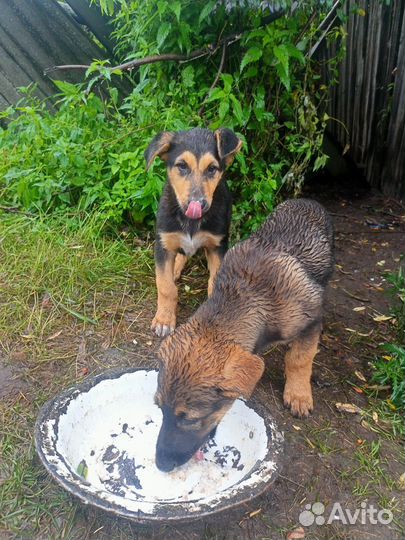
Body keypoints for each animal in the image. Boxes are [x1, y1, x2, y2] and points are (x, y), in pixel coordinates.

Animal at [144, 128, 241, 336]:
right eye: (182, 166)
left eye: (212, 169)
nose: (198, 204)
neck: (191, 221)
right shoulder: (163, 243)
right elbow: (165, 286)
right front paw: (164, 319)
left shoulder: (217, 247)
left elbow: (214, 283)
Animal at [153, 199, 332, 472]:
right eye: (160, 408)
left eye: (191, 419)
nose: (161, 465)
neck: (251, 297)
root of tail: (306, 200)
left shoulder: (311, 322)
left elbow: (299, 359)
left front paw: (298, 394)